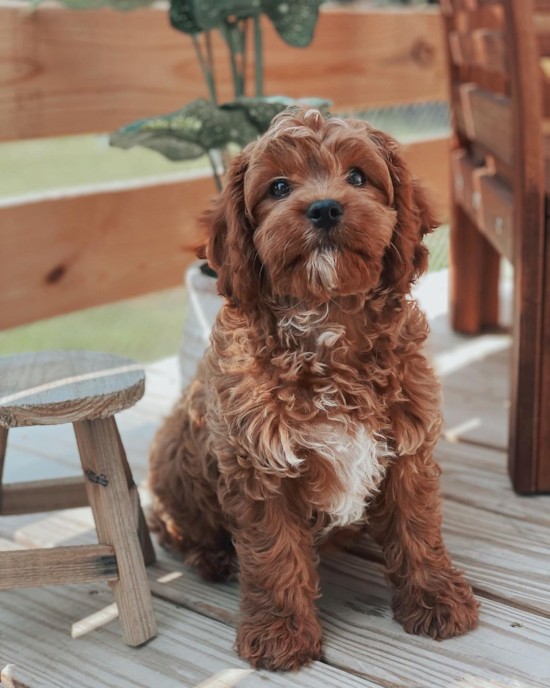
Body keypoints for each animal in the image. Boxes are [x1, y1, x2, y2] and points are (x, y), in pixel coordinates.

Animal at [149, 107, 480, 672]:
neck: (327, 323)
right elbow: (274, 553)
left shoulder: (407, 443)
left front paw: (435, 596)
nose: (324, 208)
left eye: (358, 177)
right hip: (174, 456)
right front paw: (280, 631)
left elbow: (417, 528)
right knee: (172, 524)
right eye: (279, 187)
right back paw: (211, 555)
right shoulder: (258, 464)